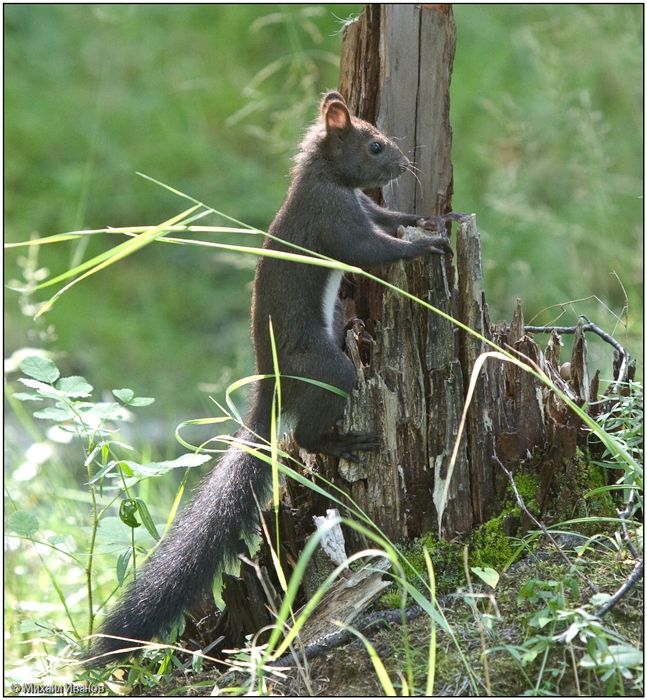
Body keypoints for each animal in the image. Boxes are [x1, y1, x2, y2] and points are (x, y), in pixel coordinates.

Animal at [88, 90, 468, 664]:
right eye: (375, 145)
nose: (405, 164)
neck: (327, 178)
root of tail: (272, 386)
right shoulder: (335, 219)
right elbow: (373, 250)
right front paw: (422, 246)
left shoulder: (366, 207)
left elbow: (392, 214)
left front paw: (435, 215)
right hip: (331, 370)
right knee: (305, 432)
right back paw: (343, 442)